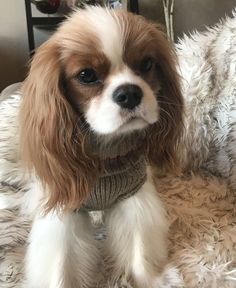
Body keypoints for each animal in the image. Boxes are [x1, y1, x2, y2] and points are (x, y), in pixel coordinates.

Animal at [19, 5, 183, 288]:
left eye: (146, 64)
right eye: (86, 75)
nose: (129, 93)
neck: (105, 153)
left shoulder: (135, 197)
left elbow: (139, 250)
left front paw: (152, 280)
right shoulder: (64, 211)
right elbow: (60, 265)